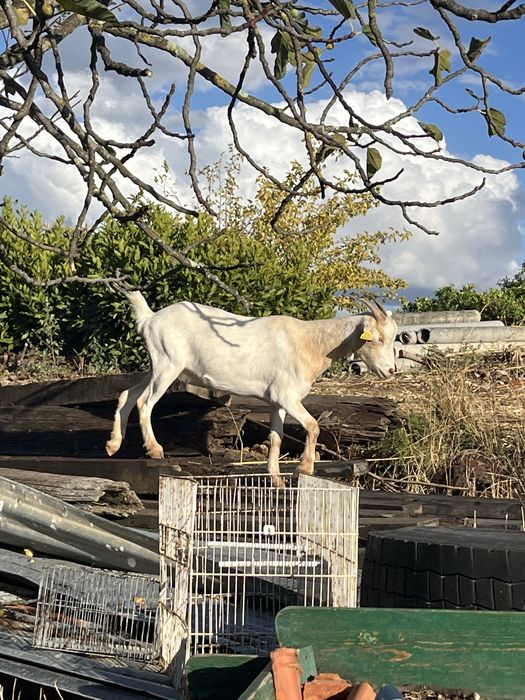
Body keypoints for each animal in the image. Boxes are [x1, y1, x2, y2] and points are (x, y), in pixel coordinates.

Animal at [106, 292, 397, 486]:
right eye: (378, 338)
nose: (391, 370)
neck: (309, 343)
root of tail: (150, 319)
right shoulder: (287, 395)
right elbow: (313, 426)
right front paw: (304, 468)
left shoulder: (276, 400)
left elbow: (276, 437)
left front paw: (276, 480)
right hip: (168, 364)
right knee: (145, 402)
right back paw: (154, 449)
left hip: (158, 366)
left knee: (127, 395)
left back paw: (113, 444)